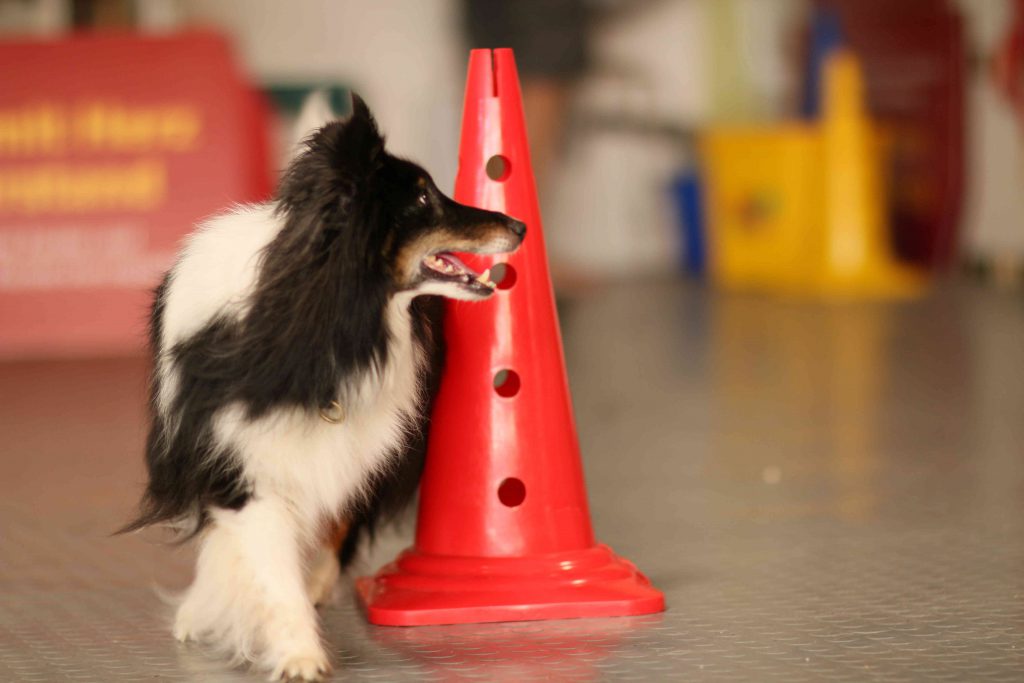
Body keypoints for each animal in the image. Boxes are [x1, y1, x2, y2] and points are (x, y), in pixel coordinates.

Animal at [121, 94, 528, 679]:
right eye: (422, 197)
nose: (519, 225)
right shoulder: (237, 460)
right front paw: (295, 651)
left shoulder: (358, 448)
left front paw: (294, 635)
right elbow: (264, 561)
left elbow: (323, 529)